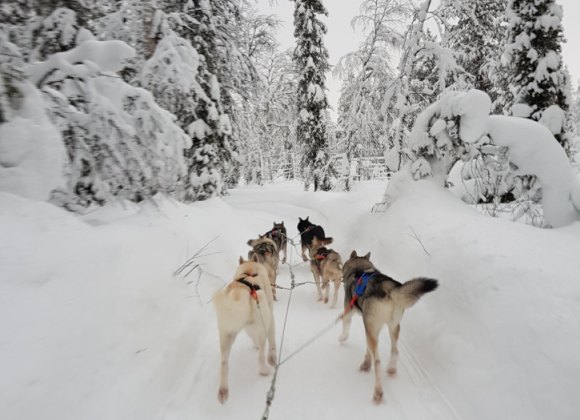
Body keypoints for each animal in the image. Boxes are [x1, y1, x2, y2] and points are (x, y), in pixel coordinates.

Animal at [213, 256, 276, 404]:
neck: (249, 272)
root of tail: (241, 292)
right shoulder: (270, 319)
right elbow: (272, 341)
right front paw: (273, 358)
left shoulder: (249, 328)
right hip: (262, 327)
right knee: (261, 357)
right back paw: (265, 370)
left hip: (226, 336)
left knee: (224, 363)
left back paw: (223, 391)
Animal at [338, 251, 438, 402]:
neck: (360, 268)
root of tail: (389, 288)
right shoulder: (370, 328)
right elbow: (368, 350)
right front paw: (366, 363)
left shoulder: (350, 312)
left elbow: (345, 327)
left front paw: (342, 338)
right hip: (393, 327)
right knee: (395, 351)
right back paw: (391, 369)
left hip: (374, 329)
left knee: (378, 362)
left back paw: (378, 392)